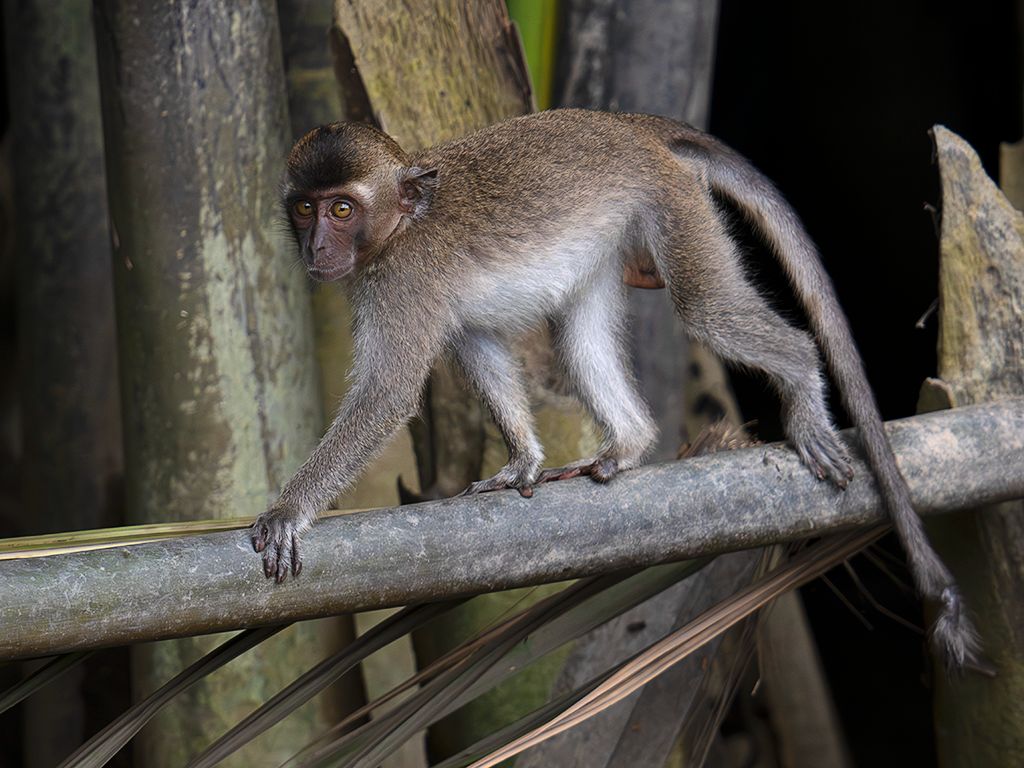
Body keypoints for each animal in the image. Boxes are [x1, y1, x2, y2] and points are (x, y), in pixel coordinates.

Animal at [250, 108, 978, 669]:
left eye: (343, 209)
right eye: (306, 209)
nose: (317, 248)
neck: (401, 224)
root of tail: (628, 124)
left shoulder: (401, 281)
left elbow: (388, 395)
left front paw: (290, 509)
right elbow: (479, 344)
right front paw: (522, 460)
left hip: (672, 202)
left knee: (706, 308)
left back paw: (799, 388)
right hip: (618, 228)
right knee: (579, 334)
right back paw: (628, 443)